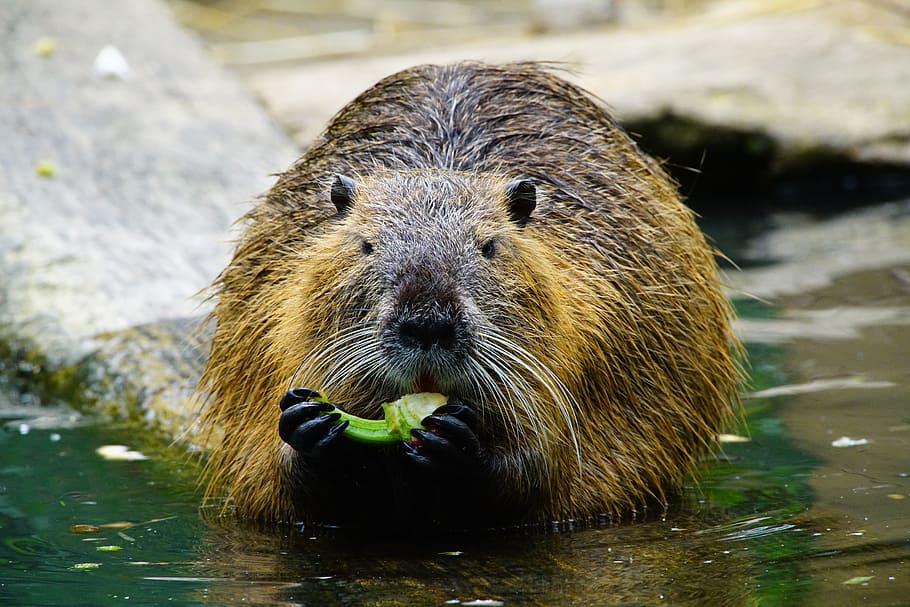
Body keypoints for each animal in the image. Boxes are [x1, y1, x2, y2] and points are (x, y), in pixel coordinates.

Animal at [196, 62, 741, 528]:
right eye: (366, 244)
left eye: (489, 245)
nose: (427, 325)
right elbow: (281, 488)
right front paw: (307, 425)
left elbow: (540, 471)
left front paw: (456, 442)